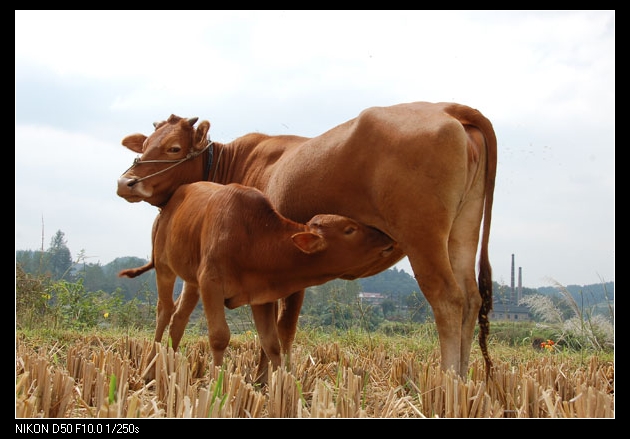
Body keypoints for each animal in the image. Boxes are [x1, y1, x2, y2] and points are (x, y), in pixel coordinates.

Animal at [118, 180, 396, 384]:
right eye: (350, 229)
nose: (387, 238)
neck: (255, 238)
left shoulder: (261, 297)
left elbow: (271, 344)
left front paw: (280, 385)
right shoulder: (211, 283)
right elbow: (219, 336)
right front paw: (217, 384)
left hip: (191, 282)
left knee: (179, 318)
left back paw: (170, 365)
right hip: (165, 268)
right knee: (164, 311)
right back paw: (151, 369)